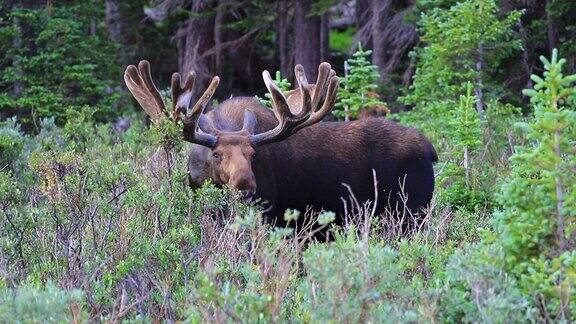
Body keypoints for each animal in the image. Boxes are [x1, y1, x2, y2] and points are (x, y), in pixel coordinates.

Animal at [125, 60, 436, 228]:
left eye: (253, 155)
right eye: (217, 155)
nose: (247, 184)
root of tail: (431, 150)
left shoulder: (271, 215)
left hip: (410, 213)